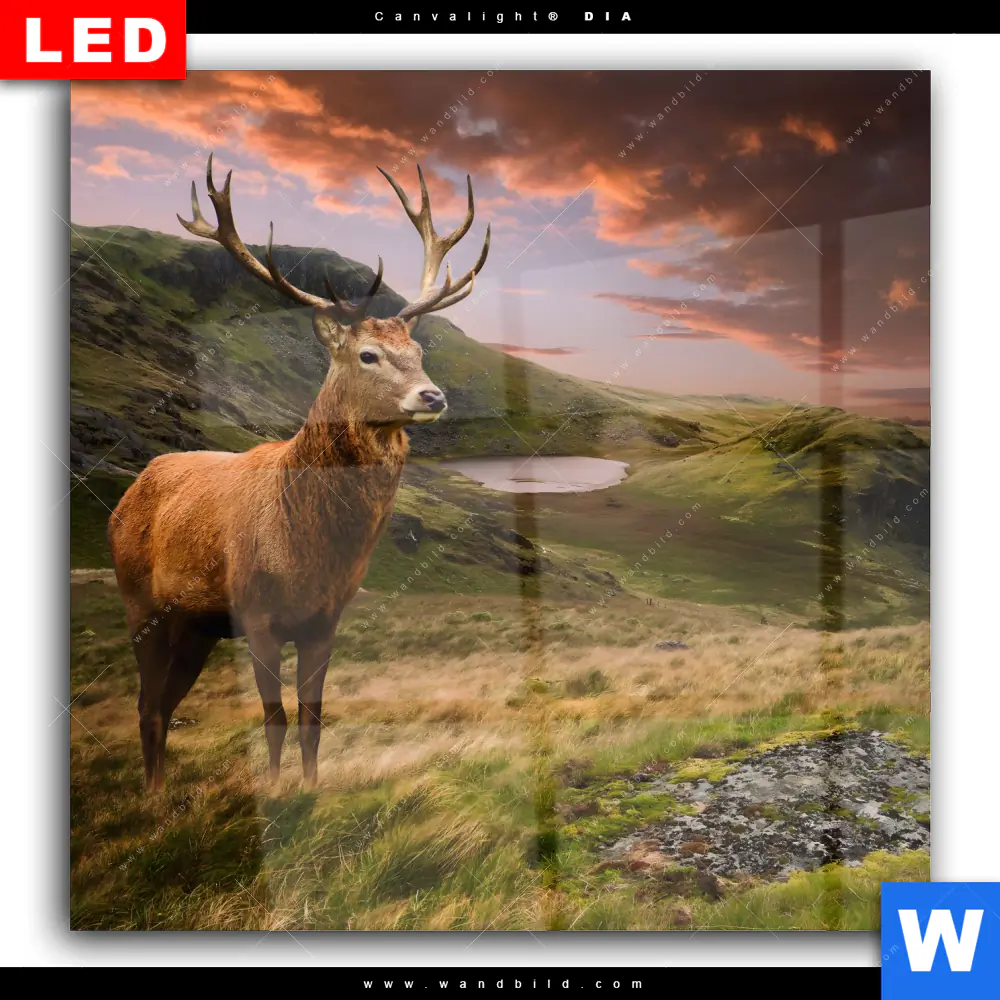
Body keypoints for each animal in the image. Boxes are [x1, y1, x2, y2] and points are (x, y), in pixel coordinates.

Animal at [109, 153, 490, 792]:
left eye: (417, 351)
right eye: (367, 355)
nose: (433, 396)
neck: (309, 548)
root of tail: (126, 495)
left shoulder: (325, 620)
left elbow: (313, 714)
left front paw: (311, 788)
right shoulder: (257, 614)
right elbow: (274, 717)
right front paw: (274, 789)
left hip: (195, 628)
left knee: (163, 701)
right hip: (141, 604)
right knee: (146, 704)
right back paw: (154, 797)